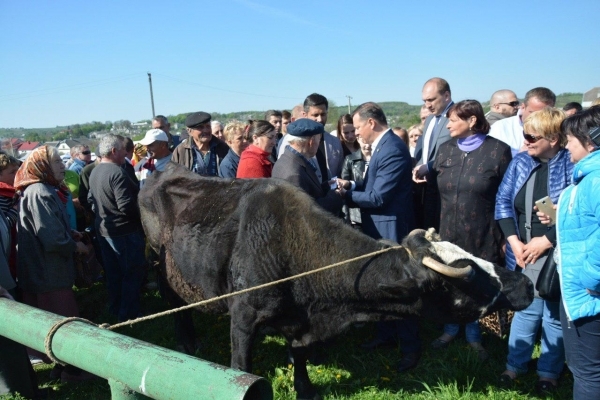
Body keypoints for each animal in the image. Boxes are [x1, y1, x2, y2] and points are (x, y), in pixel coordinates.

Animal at [141, 162, 536, 400]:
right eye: (471, 279)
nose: (526, 285)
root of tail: (163, 168)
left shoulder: (299, 322)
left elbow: (300, 357)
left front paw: (305, 390)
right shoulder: (243, 317)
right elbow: (241, 367)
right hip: (162, 267)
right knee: (174, 304)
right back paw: (187, 341)